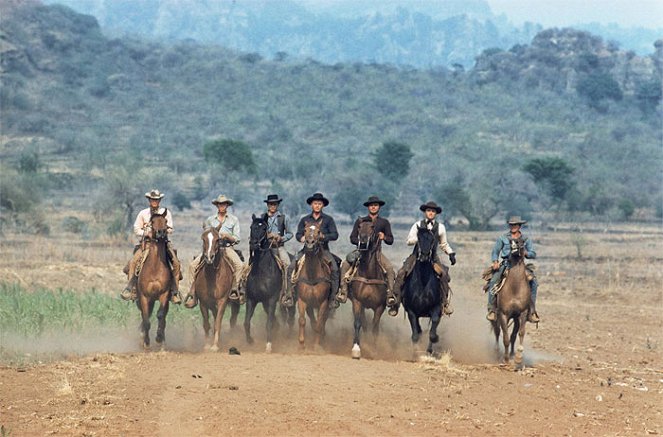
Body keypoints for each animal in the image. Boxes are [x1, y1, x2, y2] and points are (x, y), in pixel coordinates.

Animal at [136, 209, 172, 350]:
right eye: (152, 221)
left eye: (166, 221)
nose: (161, 232)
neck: (155, 267)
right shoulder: (144, 296)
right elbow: (146, 320)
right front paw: (146, 342)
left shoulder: (164, 294)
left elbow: (160, 315)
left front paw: (159, 338)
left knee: (163, 318)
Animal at [244, 214, 294, 350]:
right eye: (251, 227)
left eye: (263, 228)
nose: (253, 244)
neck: (262, 271)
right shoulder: (252, 299)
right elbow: (246, 322)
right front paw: (250, 341)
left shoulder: (272, 299)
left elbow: (269, 323)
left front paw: (269, 345)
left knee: (290, 319)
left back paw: (289, 338)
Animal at [348, 217, 390, 358]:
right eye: (359, 226)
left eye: (372, 227)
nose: (363, 241)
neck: (369, 275)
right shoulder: (357, 301)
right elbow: (358, 323)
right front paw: (356, 349)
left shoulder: (380, 307)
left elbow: (375, 328)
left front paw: (375, 350)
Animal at [402, 225, 444, 354]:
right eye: (419, 238)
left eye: (432, 240)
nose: (424, 256)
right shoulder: (411, 311)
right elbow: (415, 335)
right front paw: (415, 354)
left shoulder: (436, 308)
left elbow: (432, 333)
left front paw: (430, 348)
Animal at [490, 237, 532, 366]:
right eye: (510, 241)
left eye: (521, 241)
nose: (513, 248)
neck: (515, 287)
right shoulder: (503, 314)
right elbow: (505, 337)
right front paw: (506, 359)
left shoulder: (522, 313)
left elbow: (520, 333)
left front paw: (518, 357)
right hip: (497, 316)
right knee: (497, 331)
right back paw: (497, 351)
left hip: (515, 318)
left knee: (513, 334)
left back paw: (513, 353)